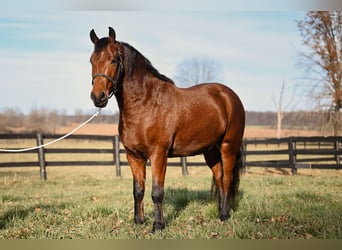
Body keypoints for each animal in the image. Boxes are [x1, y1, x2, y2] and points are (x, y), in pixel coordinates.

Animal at [89, 26, 244, 231]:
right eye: (91, 60)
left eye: (113, 60)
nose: (98, 97)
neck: (145, 104)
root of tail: (229, 96)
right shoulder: (133, 156)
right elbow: (138, 190)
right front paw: (138, 221)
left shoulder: (158, 154)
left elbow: (157, 192)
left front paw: (158, 225)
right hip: (210, 150)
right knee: (219, 177)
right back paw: (219, 212)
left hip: (228, 147)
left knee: (227, 178)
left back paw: (225, 215)